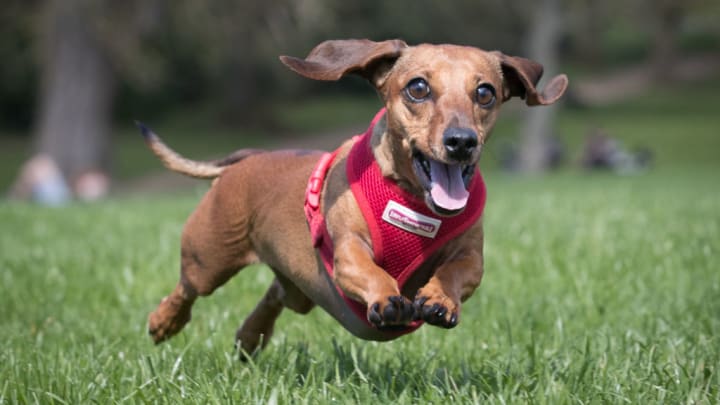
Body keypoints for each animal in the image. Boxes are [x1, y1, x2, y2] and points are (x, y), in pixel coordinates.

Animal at [142, 38, 568, 354]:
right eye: (418, 88)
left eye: (485, 93)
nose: (461, 142)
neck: (414, 203)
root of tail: (251, 157)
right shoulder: (348, 253)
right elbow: (371, 271)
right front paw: (388, 298)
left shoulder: (470, 256)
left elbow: (456, 271)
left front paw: (440, 297)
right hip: (209, 258)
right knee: (187, 289)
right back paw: (164, 322)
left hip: (300, 291)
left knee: (276, 294)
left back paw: (250, 337)